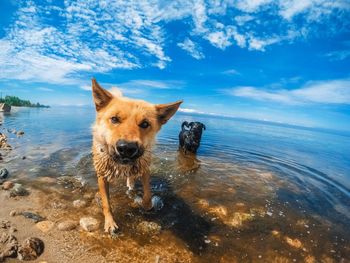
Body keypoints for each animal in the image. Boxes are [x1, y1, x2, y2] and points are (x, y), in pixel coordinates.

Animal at [90, 79, 183, 235]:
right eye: (114, 119)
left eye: (145, 124)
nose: (127, 148)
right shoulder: (102, 176)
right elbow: (106, 203)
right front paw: (110, 222)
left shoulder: (144, 169)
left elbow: (147, 194)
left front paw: (146, 205)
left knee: (131, 178)